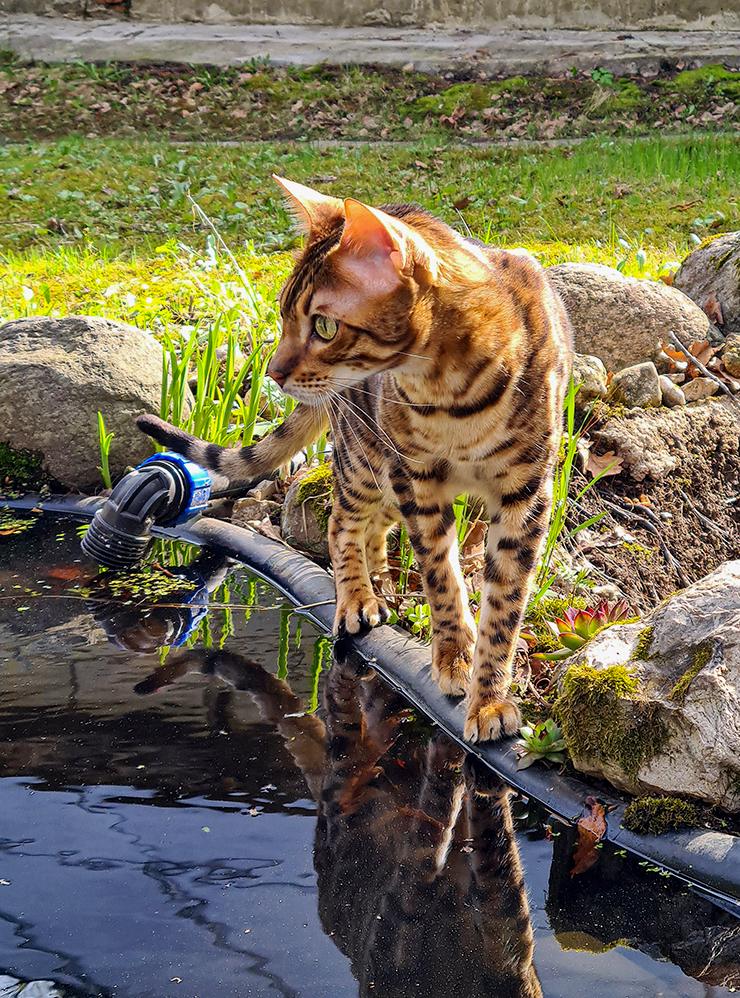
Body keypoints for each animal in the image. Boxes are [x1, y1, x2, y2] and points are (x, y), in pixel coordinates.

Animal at [136, 178, 568, 744]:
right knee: (343, 521)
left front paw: (489, 696)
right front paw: (453, 655)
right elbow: (441, 577)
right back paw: (357, 596)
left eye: (323, 326)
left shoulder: (526, 493)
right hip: (364, 459)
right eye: (282, 314)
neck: (454, 396)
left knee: (378, 529)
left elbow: (504, 605)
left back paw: (380, 580)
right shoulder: (417, 477)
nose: (273, 372)